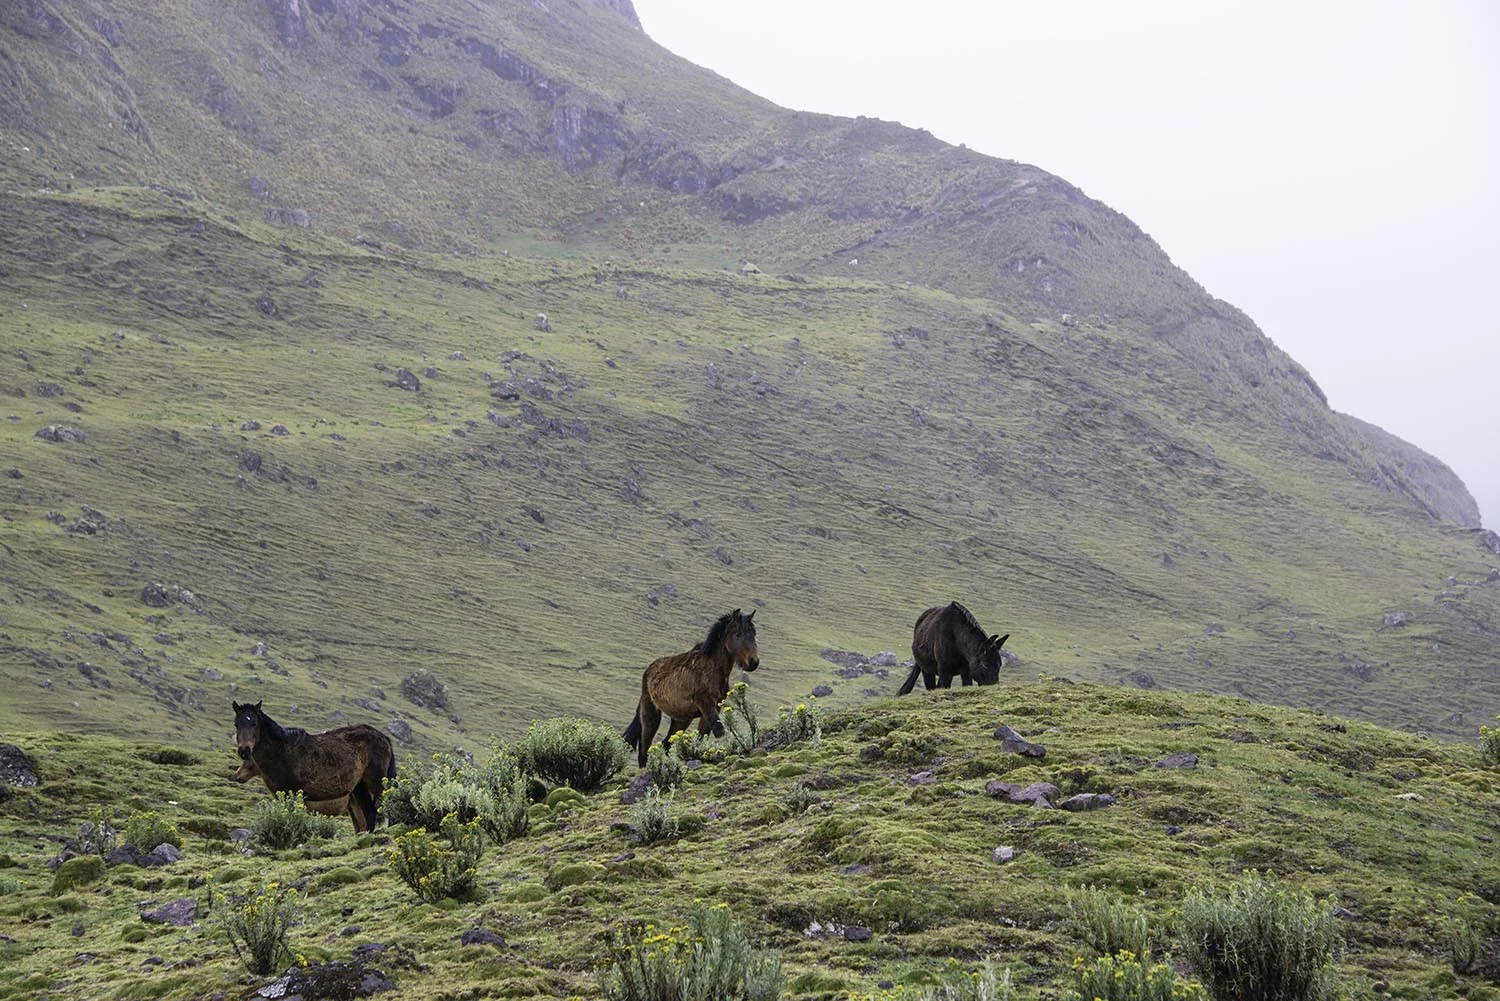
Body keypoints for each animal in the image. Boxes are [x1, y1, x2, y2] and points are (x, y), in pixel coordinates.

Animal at [231, 701, 397, 833]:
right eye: (237, 724)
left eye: (254, 723)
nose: (244, 751)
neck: (281, 752)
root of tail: (384, 737)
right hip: (359, 788)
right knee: (369, 815)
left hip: (376, 783)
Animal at [623, 608, 760, 767]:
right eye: (738, 634)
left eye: (754, 634)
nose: (753, 662)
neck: (712, 667)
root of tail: (649, 671)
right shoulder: (705, 704)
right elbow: (719, 731)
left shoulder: (713, 708)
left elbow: (703, 735)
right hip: (650, 714)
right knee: (644, 748)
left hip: (681, 720)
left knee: (665, 744)